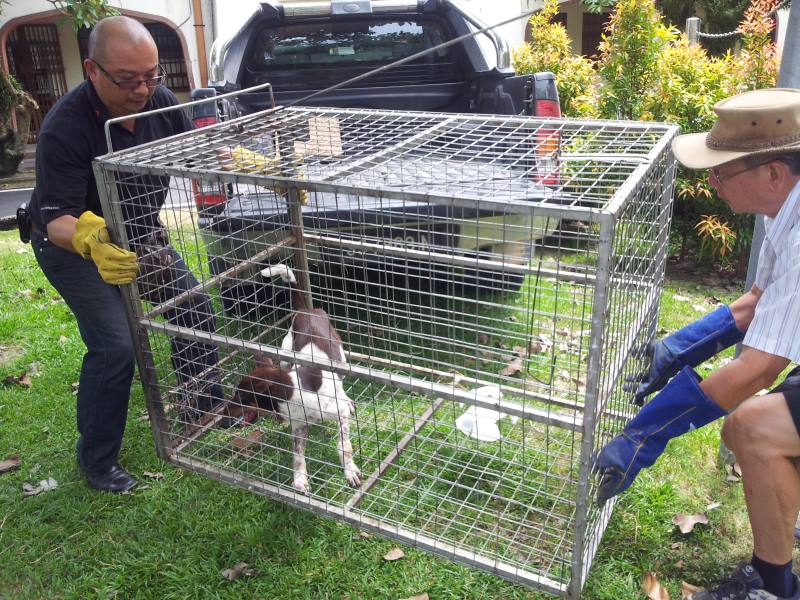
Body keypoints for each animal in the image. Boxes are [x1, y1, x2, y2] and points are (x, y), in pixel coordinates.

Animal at [228, 264, 360, 494]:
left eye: (242, 398)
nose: (223, 414)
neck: (296, 393)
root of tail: (305, 310)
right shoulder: (299, 425)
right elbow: (298, 456)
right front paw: (300, 480)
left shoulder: (340, 414)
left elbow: (345, 446)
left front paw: (350, 471)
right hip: (285, 356)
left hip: (341, 358)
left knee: (342, 385)